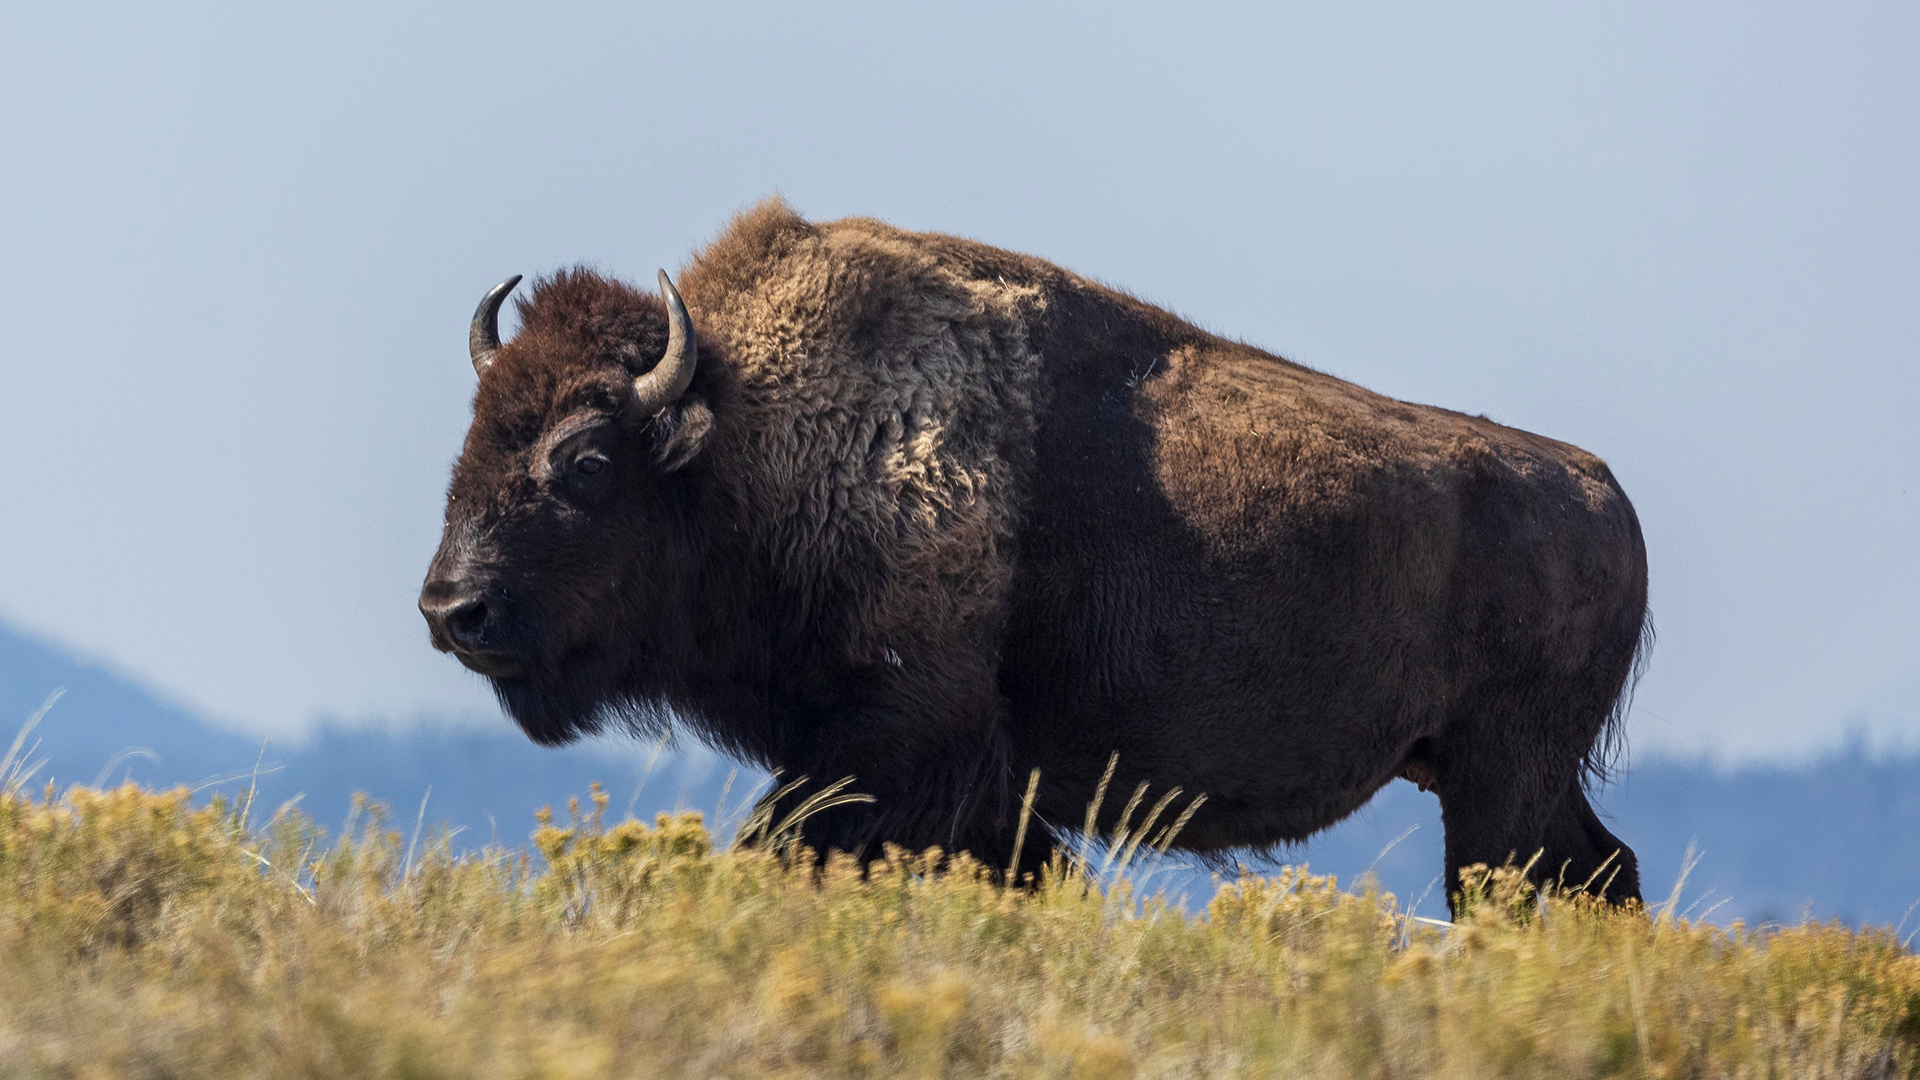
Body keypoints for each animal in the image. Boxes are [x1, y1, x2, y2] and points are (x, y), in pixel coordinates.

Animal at [420, 199, 1651, 899]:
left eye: (586, 463)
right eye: (472, 435)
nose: (450, 611)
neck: (749, 441)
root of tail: (1603, 493)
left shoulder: (896, 741)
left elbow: (784, 841)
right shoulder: (979, 787)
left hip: (1503, 776)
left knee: (1534, 882)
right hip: (1490, 773)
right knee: (1596, 873)